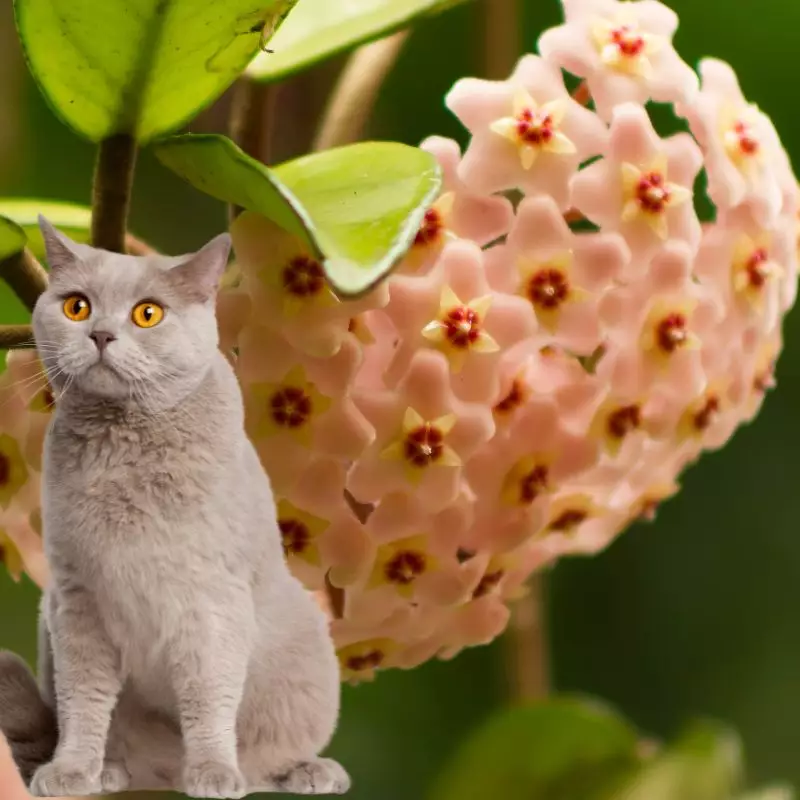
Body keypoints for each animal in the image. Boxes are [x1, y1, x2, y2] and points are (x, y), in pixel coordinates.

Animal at [0, 216, 346, 796]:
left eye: (148, 313)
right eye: (77, 306)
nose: (100, 335)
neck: (124, 447)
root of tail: (162, 772)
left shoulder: (210, 601)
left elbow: (208, 699)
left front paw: (213, 772)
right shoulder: (77, 600)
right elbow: (82, 703)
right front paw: (73, 771)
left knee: (271, 753)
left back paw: (303, 772)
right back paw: (112, 772)